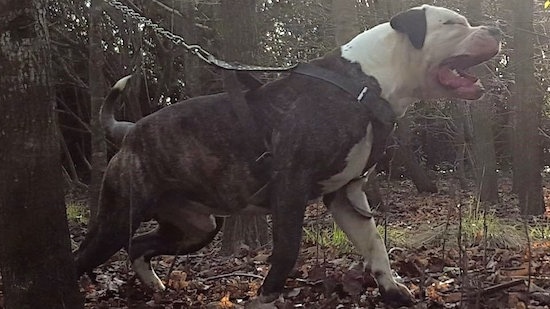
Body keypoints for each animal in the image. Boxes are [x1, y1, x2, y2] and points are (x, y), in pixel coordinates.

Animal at [75, 4, 502, 306]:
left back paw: (154, 286)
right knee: (82, 256)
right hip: (118, 217)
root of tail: (130, 131)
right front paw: (266, 297)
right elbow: (287, 249)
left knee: (140, 246)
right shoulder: (291, 188)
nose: (496, 28)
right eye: (452, 24)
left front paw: (394, 291)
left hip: (196, 227)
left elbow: (374, 245)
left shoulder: (346, 194)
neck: (364, 83)